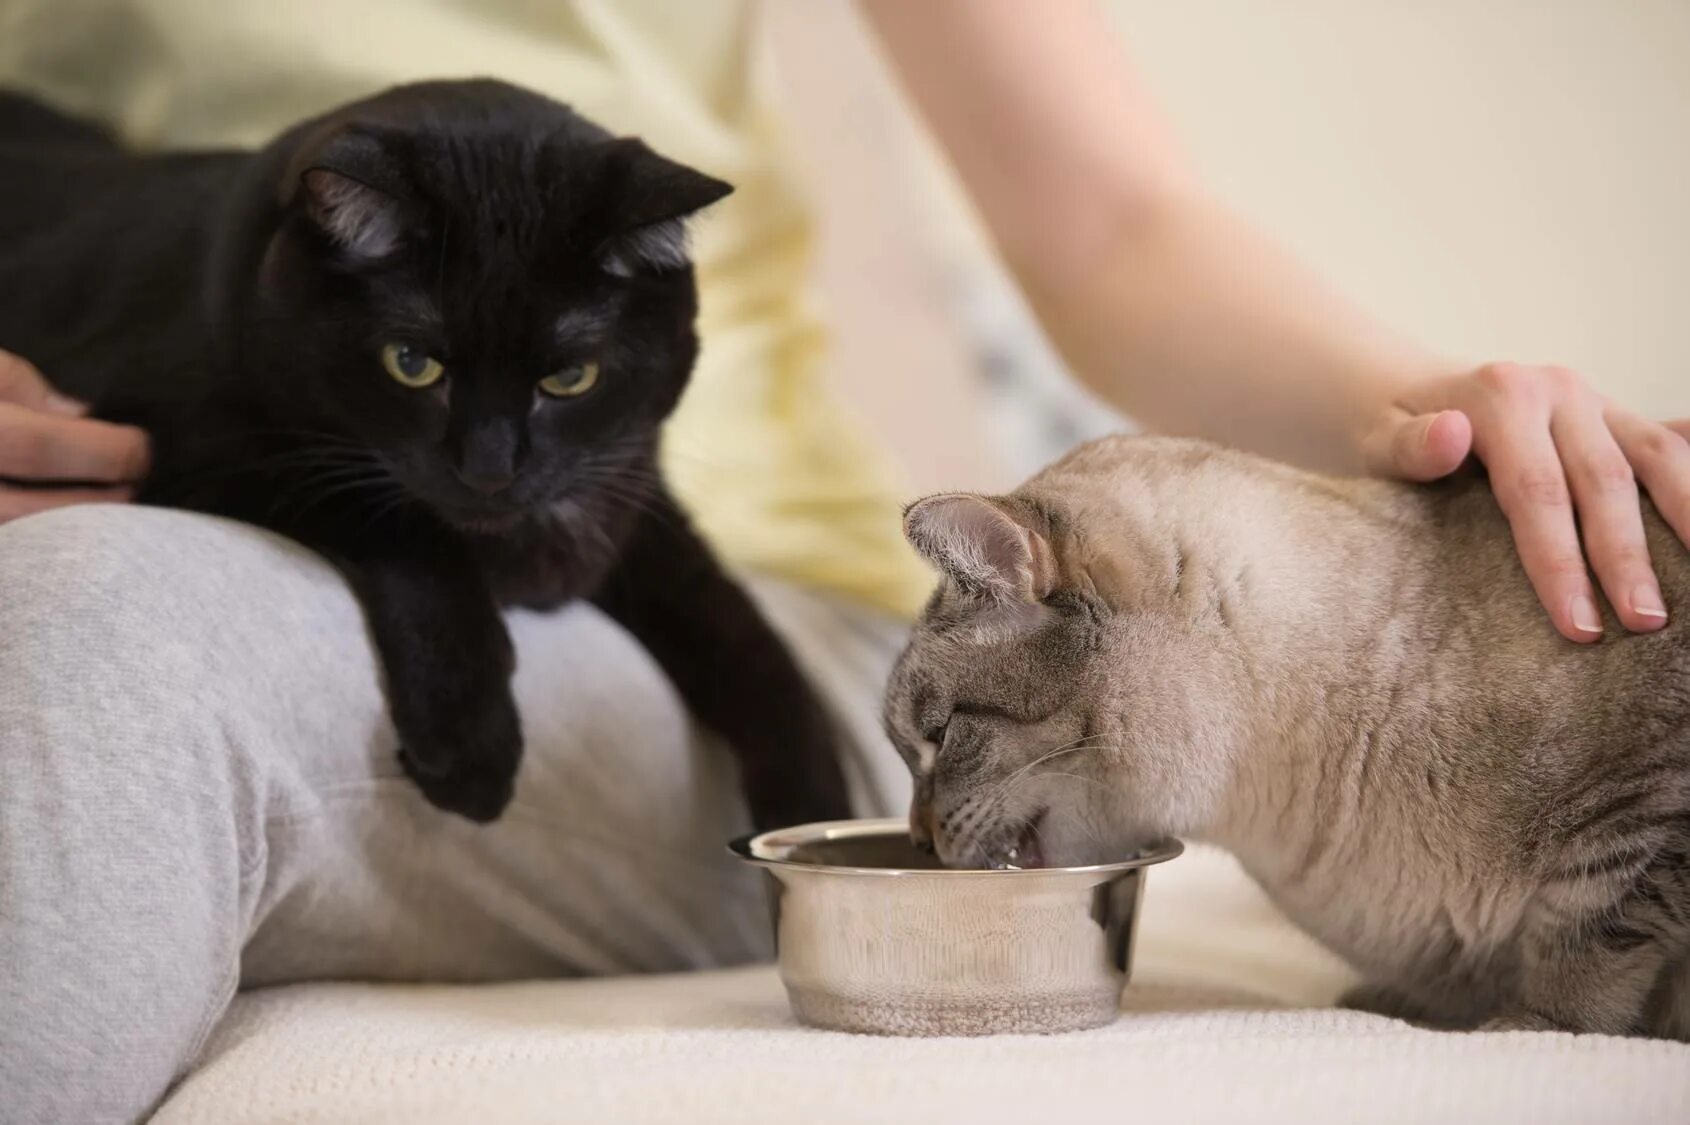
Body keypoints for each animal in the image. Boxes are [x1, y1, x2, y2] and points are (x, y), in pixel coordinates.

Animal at [885, 432, 1690, 1040]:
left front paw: (1527, 1028)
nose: (919, 839)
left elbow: (1586, 950)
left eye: (937, 736)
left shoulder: (1640, 815)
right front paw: (1409, 1011)